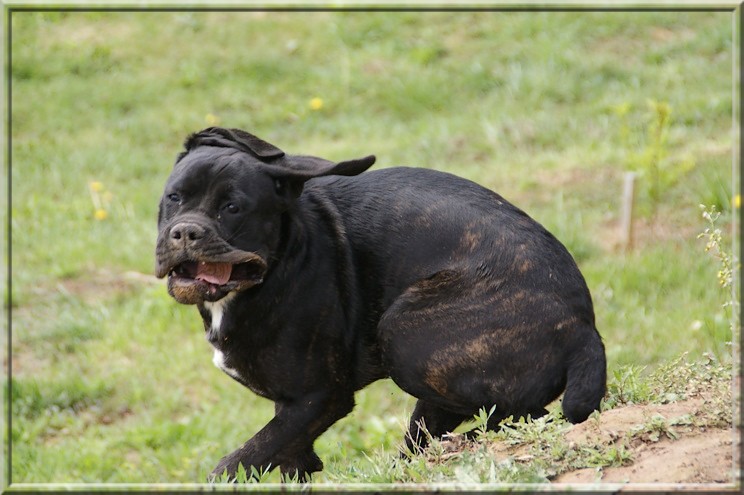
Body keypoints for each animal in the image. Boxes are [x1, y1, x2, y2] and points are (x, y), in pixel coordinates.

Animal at [154, 126, 608, 482]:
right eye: (174, 197)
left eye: (233, 208)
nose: (186, 232)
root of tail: (583, 328)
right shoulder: (294, 411)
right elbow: (284, 455)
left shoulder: (319, 397)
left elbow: (236, 463)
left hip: (403, 334)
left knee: (520, 415)